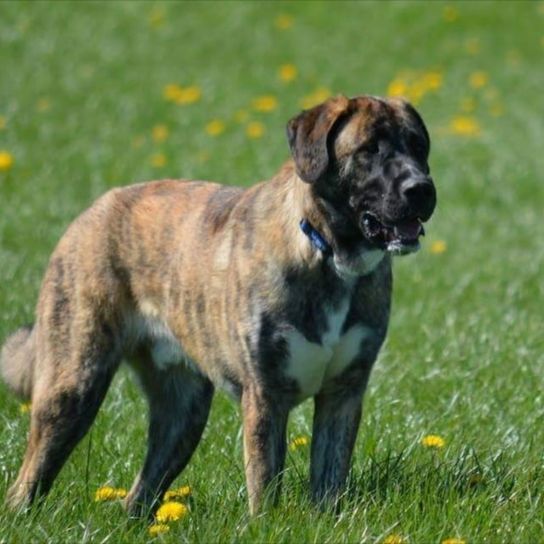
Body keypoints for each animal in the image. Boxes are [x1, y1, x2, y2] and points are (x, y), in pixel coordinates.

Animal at [1, 95, 436, 516]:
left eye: (419, 146)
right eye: (369, 149)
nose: (422, 188)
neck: (326, 253)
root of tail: (90, 211)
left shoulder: (342, 394)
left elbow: (329, 482)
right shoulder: (265, 396)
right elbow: (265, 485)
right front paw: (266, 526)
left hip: (183, 414)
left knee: (139, 495)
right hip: (72, 386)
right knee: (27, 483)